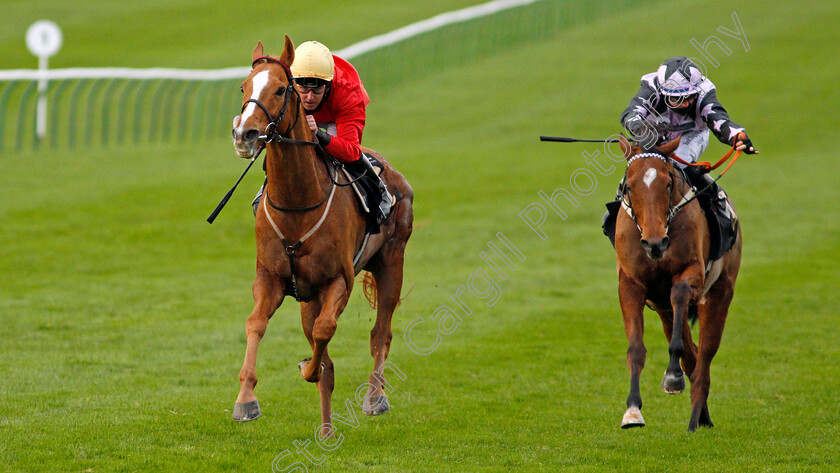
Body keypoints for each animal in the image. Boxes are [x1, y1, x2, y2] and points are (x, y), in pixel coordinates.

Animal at [230, 37, 414, 436]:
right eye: (244, 87)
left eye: (280, 89)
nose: (244, 134)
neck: (297, 204)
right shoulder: (272, 279)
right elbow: (256, 324)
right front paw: (246, 400)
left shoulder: (338, 281)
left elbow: (325, 332)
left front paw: (305, 369)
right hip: (307, 296)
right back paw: (327, 429)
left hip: (392, 260)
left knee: (381, 332)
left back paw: (374, 397)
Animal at [612, 136, 740, 432]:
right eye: (630, 186)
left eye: (668, 183)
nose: (655, 243)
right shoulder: (631, 284)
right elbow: (636, 348)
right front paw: (632, 410)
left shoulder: (692, 272)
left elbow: (680, 292)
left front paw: (672, 377)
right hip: (664, 310)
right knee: (692, 355)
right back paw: (701, 414)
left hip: (719, 293)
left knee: (704, 356)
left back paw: (695, 419)